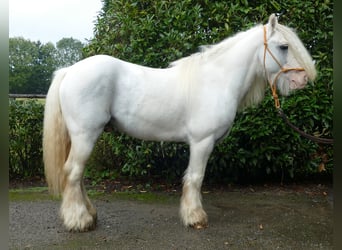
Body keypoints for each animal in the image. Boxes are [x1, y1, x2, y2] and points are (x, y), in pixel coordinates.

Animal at [42, 14, 316, 231]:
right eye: (284, 46)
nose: (302, 80)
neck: (218, 80)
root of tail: (69, 71)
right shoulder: (202, 142)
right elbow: (195, 178)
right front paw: (195, 217)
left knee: (78, 176)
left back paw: (89, 214)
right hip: (85, 135)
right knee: (73, 172)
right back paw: (79, 221)